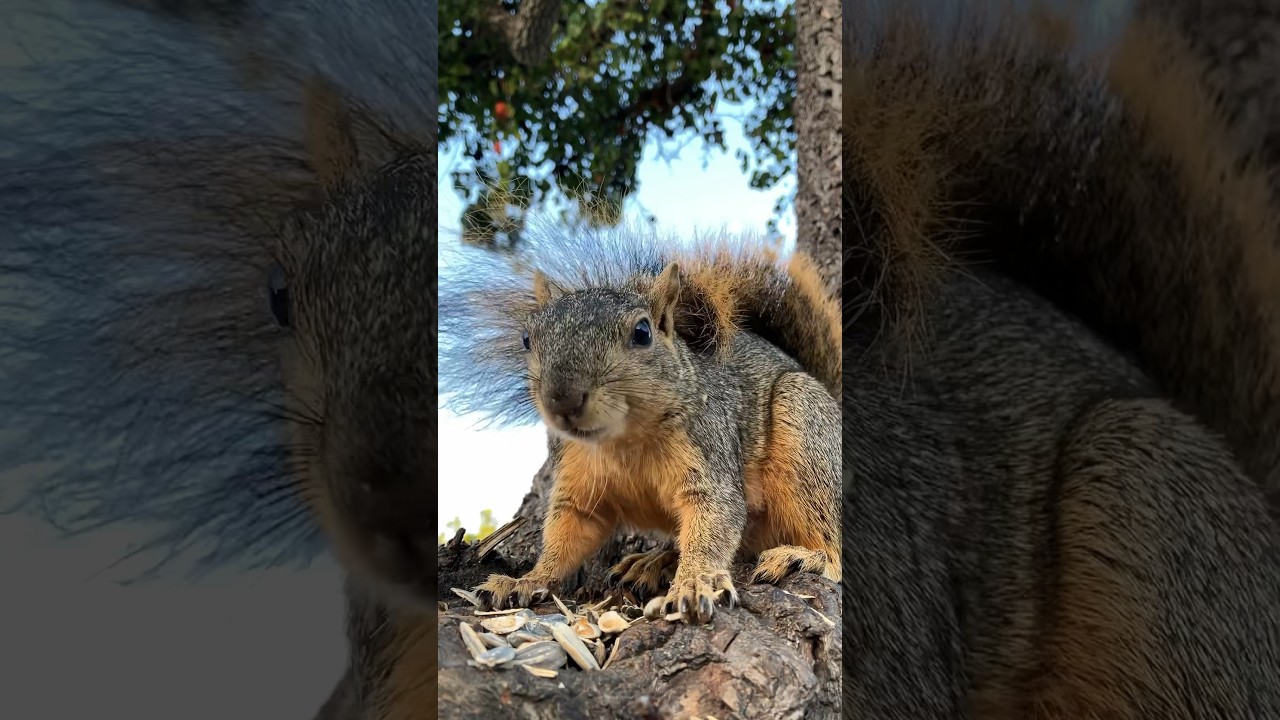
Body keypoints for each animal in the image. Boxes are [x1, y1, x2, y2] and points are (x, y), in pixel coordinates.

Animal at [439, 227, 842, 622]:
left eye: (643, 333)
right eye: (527, 339)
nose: (563, 399)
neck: (623, 441)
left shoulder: (708, 456)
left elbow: (713, 522)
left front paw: (695, 583)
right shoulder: (577, 480)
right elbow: (565, 535)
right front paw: (526, 580)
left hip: (805, 429)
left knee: (832, 540)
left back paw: (802, 557)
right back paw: (655, 561)